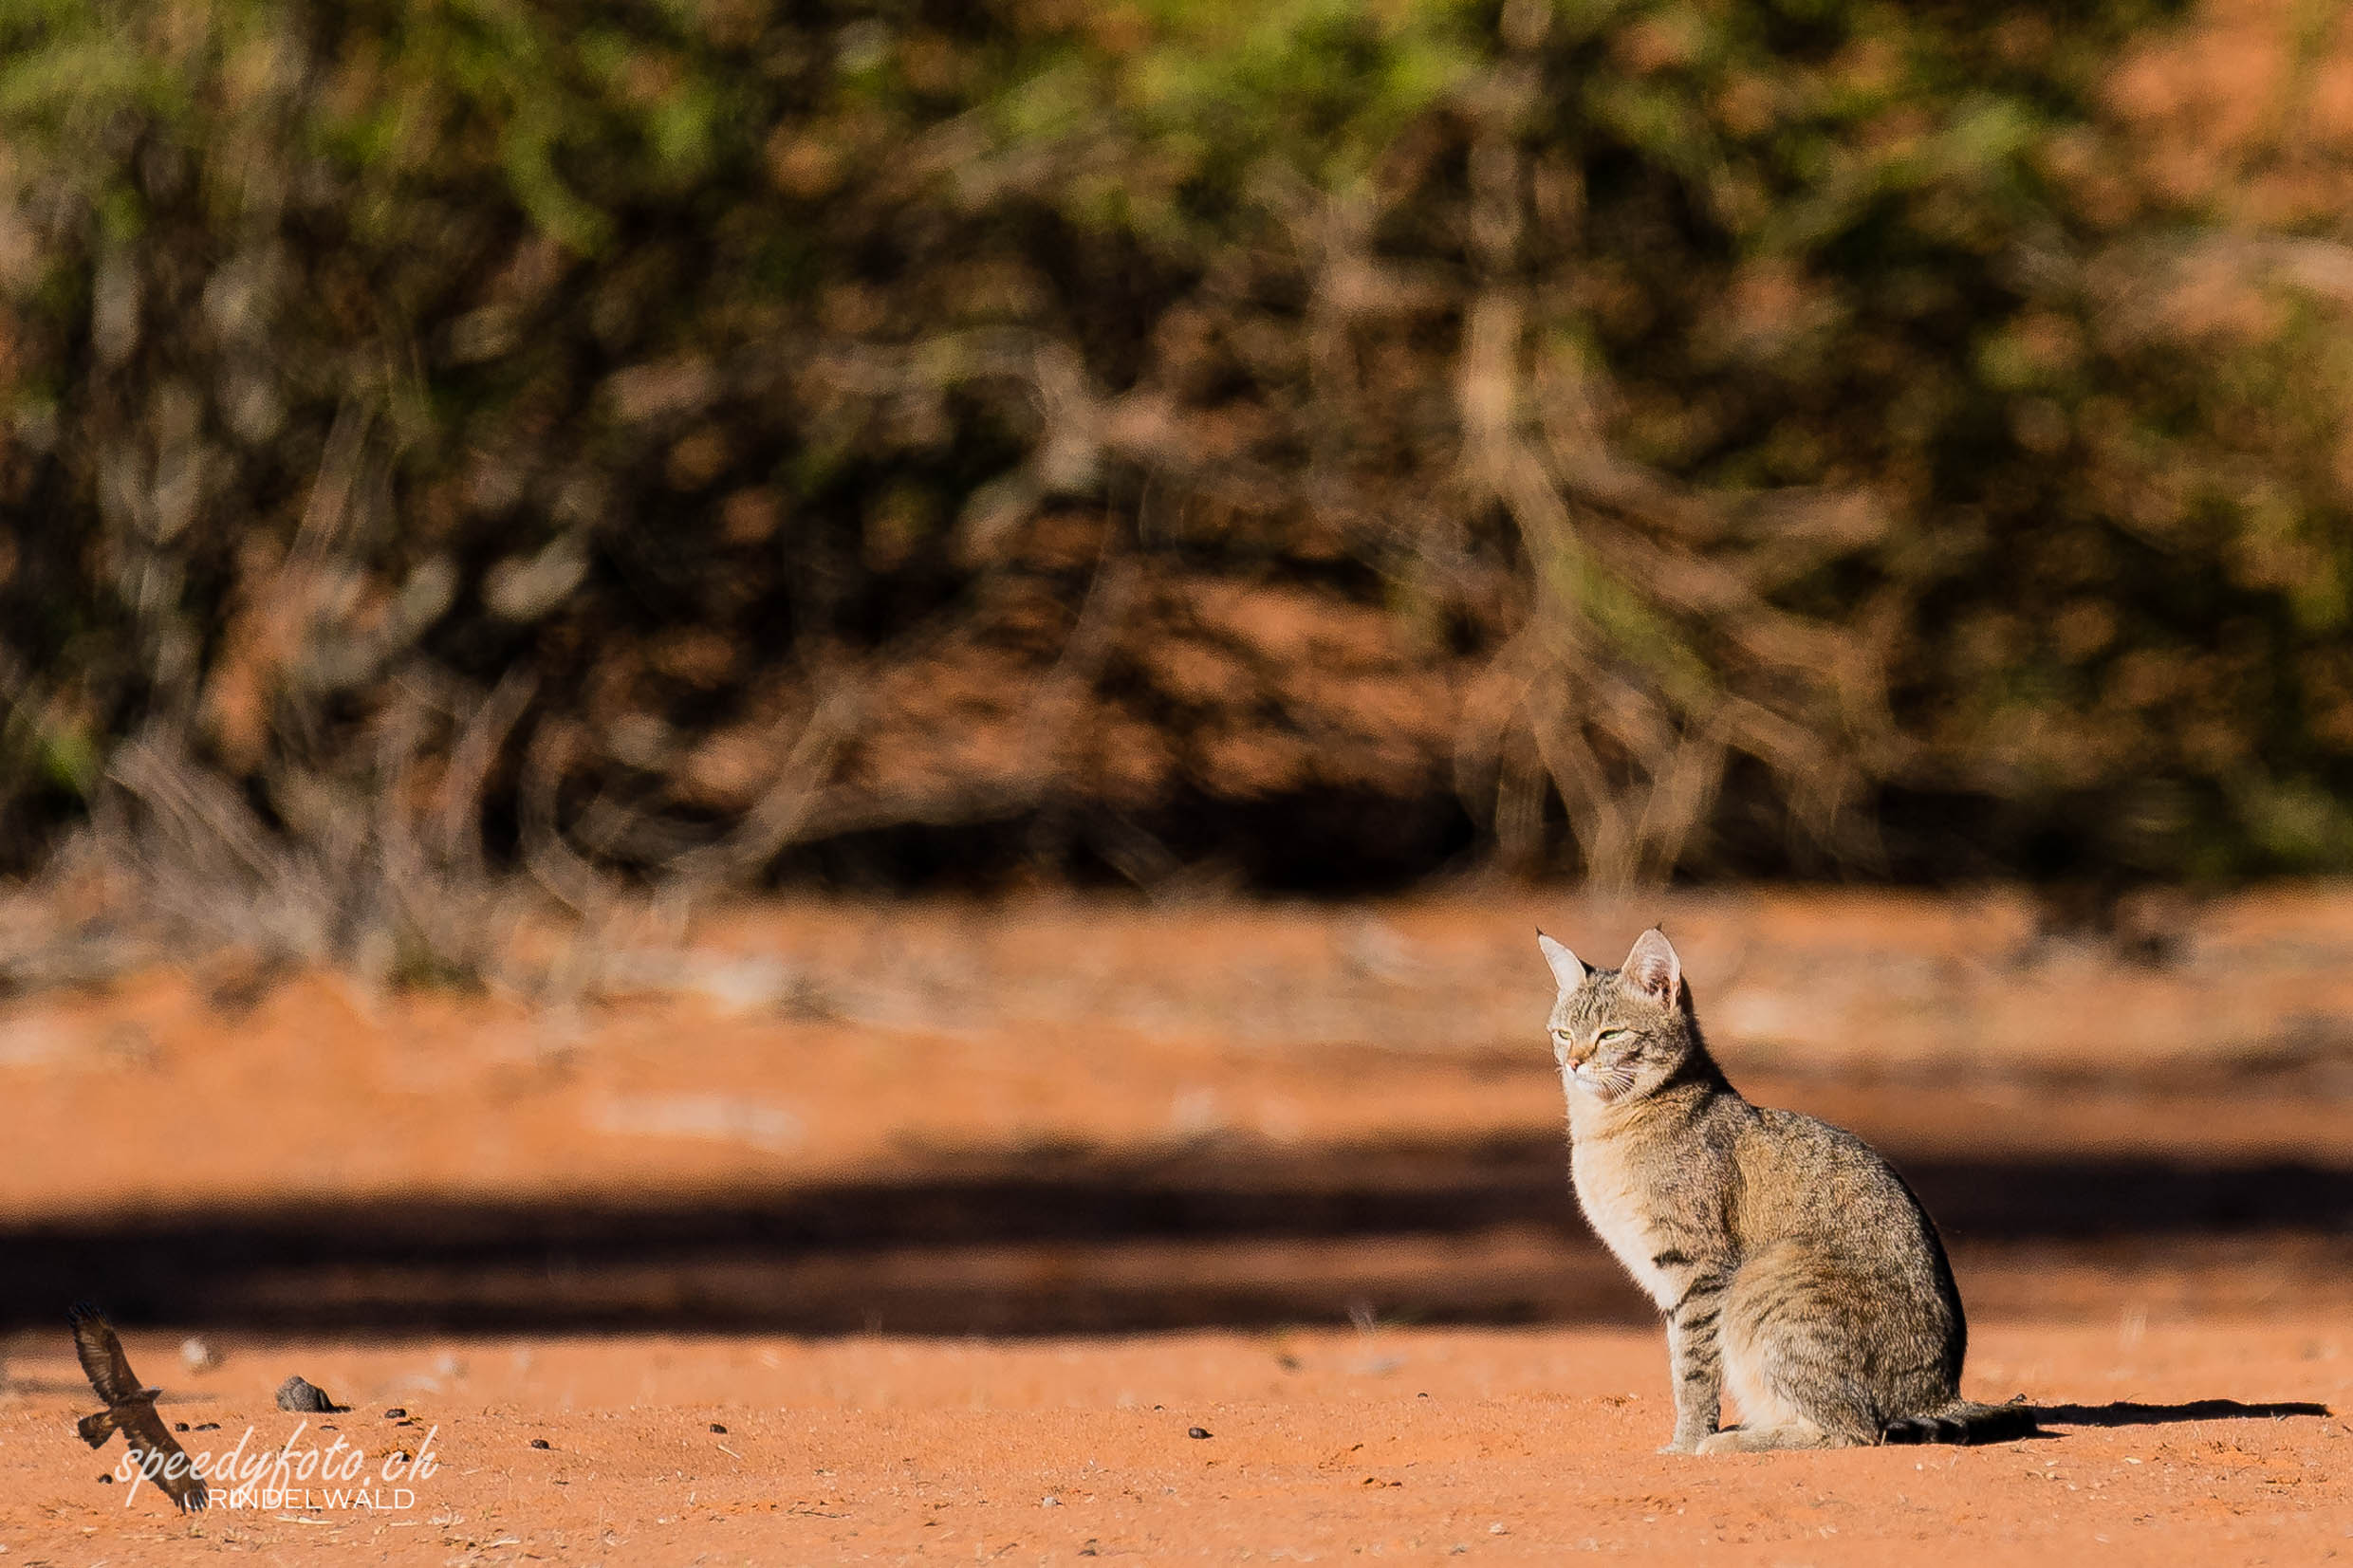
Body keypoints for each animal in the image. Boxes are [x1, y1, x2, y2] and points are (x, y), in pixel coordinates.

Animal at [1543, 926, 2023, 1457]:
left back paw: (1738, 1441)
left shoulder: (1700, 1271)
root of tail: (1944, 1392)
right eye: (1562, 1033)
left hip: (1769, 1272)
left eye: (1611, 1034)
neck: (1606, 1125)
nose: (1573, 1063)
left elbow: (1692, 1370)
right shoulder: (1674, 1282)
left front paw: (1688, 1441)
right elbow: (1683, 1361)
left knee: (1855, 1429)